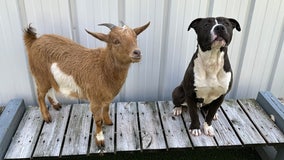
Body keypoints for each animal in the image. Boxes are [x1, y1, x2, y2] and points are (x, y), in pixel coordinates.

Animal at [23, 21, 151, 148]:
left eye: (135, 37)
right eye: (116, 41)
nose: (137, 52)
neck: (103, 68)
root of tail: (34, 41)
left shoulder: (107, 97)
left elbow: (106, 109)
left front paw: (109, 121)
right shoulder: (94, 100)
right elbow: (98, 120)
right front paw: (100, 140)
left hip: (49, 77)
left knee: (49, 90)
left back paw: (56, 105)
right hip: (40, 75)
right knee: (40, 94)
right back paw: (47, 117)